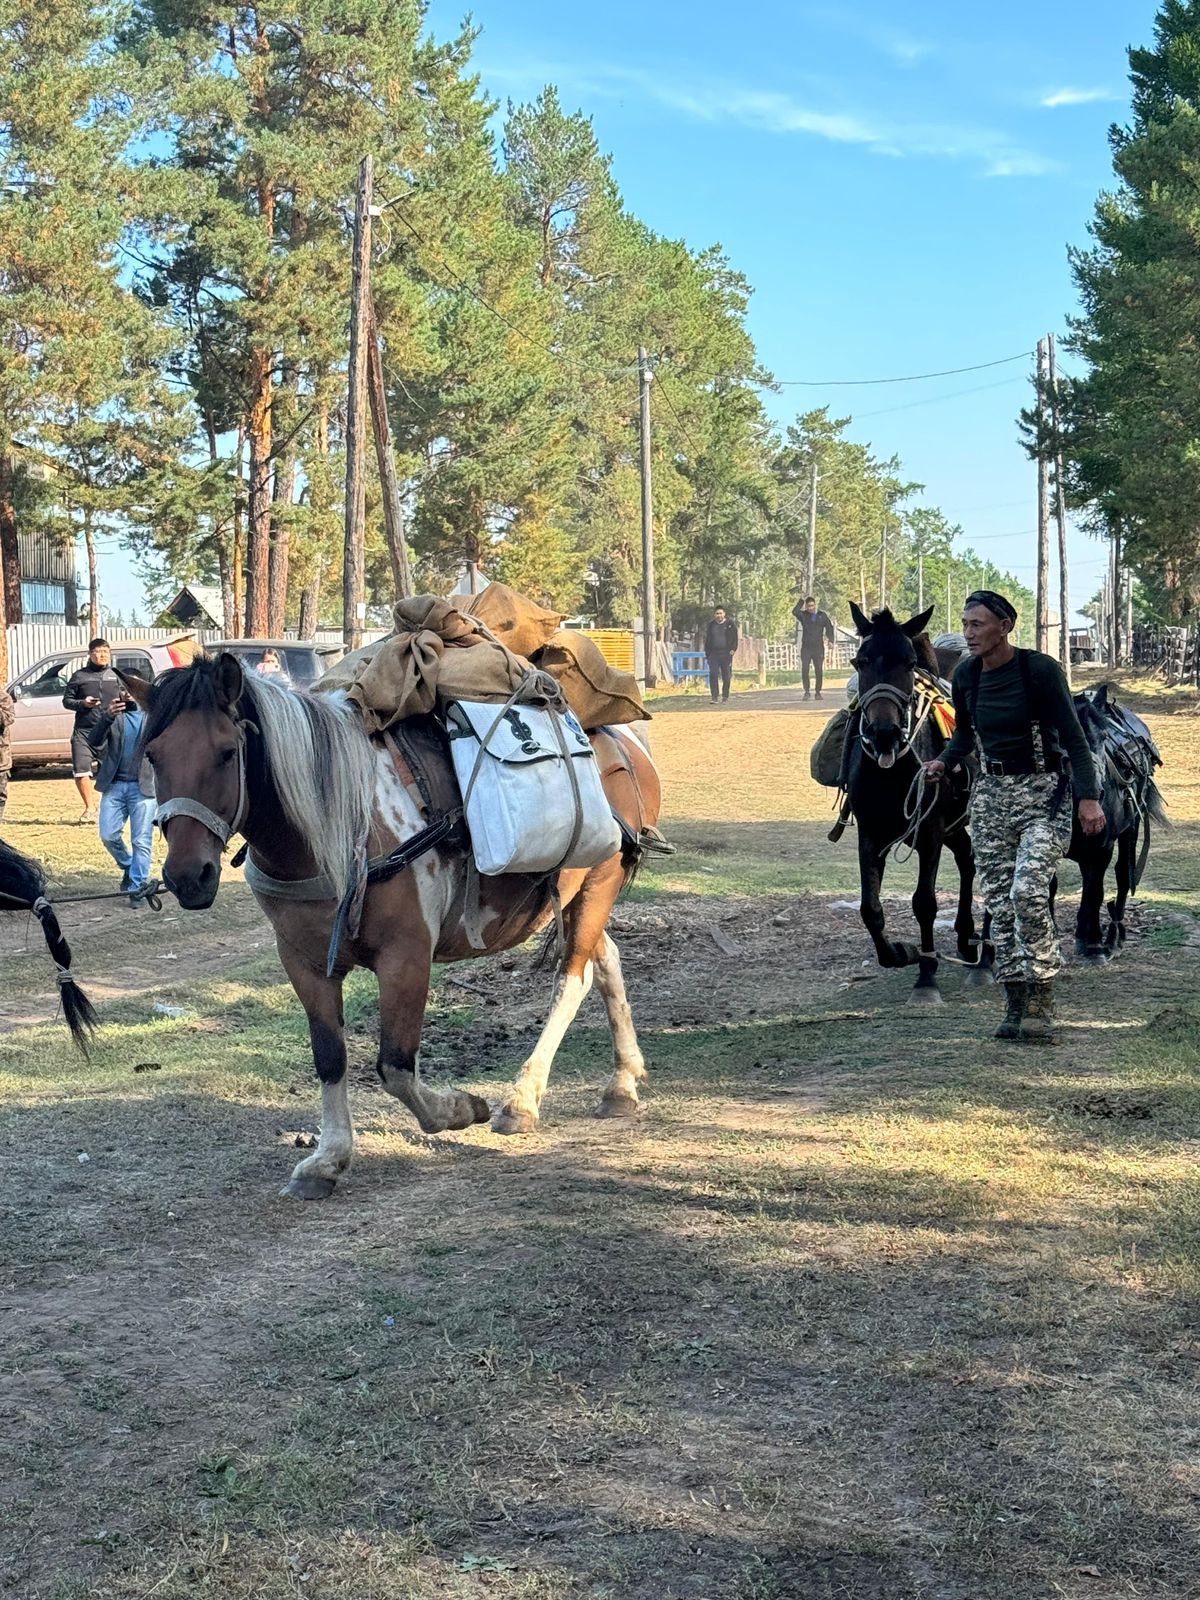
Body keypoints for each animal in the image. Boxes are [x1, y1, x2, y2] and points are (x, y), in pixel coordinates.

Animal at [127, 652, 662, 1203]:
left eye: (227, 752)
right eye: (153, 755)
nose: (187, 876)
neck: (342, 825)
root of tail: (621, 744)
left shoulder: (405, 958)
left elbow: (395, 1067)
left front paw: (458, 1109)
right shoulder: (304, 963)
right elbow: (330, 1057)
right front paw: (327, 1158)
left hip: (597, 884)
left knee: (571, 981)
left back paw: (522, 1099)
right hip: (577, 900)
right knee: (605, 962)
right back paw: (622, 1083)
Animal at [844, 604, 998, 1004]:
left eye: (909, 662)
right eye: (860, 661)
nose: (884, 733)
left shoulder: (930, 830)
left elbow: (924, 902)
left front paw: (926, 976)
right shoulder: (871, 832)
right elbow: (870, 909)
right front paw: (902, 952)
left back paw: (985, 958)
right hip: (955, 826)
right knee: (967, 860)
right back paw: (966, 937)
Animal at [1056, 678, 1171, 953]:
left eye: (1102, 738)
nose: (1092, 789)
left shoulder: (1102, 847)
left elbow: (1095, 890)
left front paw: (1092, 942)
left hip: (1132, 827)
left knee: (1122, 874)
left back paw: (1113, 933)